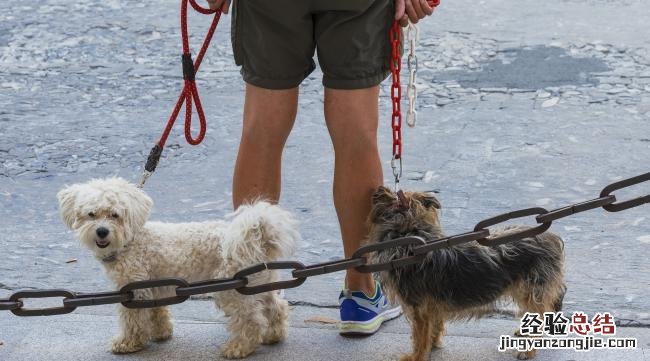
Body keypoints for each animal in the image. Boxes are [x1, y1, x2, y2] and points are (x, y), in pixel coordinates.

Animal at [57, 177, 298, 358]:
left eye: (115, 215)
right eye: (91, 214)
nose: (102, 231)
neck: (132, 240)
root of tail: (257, 236)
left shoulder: (133, 290)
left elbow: (133, 319)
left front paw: (128, 343)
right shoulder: (154, 285)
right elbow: (158, 311)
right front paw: (161, 333)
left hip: (233, 287)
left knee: (251, 320)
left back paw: (239, 347)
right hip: (259, 282)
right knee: (276, 307)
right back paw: (274, 335)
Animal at [368, 187, 564, 358]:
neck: (410, 238)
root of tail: (551, 238)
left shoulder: (419, 309)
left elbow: (420, 337)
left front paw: (416, 357)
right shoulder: (432, 306)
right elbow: (434, 327)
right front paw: (434, 345)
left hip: (532, 289)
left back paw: (528, 350)